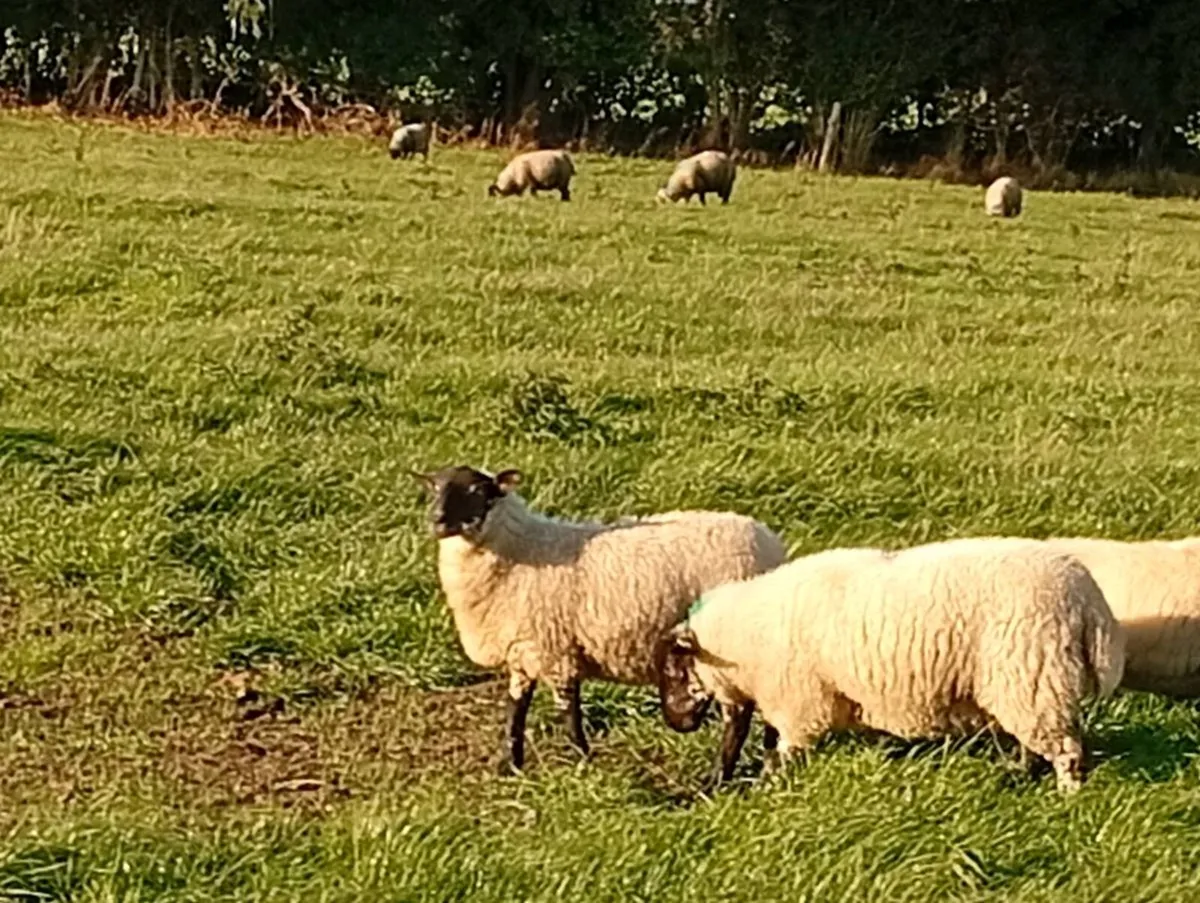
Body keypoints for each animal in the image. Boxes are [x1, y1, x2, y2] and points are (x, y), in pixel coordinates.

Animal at [412, 465, 788, 774]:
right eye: (435, 487)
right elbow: (515, 710)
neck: (519, 552)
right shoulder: (522, 650)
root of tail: (771, 546)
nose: (437, 520)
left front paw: (582, 762)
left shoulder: (556, 651)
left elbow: (569, 711)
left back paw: (720, 778)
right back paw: (770, 769)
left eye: (477, 491)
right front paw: (510, 766)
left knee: (738, 719)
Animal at [657, 537, 1124, 792]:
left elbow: (784, 748)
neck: (744, 634)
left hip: (1031, 672)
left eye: (674, 670)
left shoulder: (798, 701)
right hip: (1028, 681)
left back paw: (1066, 795)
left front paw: (770, 785)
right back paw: (1017, 774)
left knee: (1065, 750)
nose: (675, 723)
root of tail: (1087, 597)